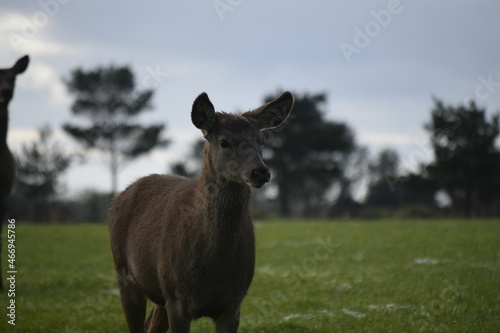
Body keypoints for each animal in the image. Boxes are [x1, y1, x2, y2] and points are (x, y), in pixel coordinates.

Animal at [106, 91, 292, 332]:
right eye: (224, 142)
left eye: (262, 141)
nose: (260, 172)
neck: (214, 273)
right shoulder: (176, 297)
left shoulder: (233, 304)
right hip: (124, 274)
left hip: (158, 294)